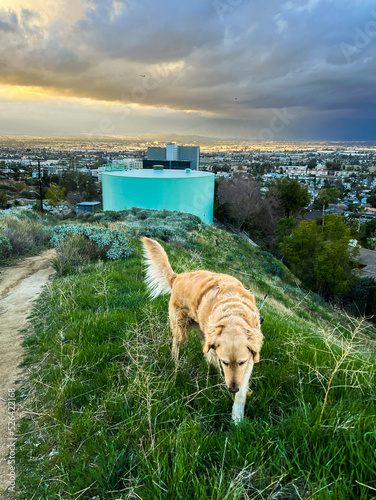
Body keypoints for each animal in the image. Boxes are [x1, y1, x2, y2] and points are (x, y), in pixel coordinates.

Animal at [142, 238, 262, 422]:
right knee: (176, 345)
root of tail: (177, 277)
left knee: (206, 352)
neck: (233, 313)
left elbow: (241, 391)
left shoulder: (248, 361)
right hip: (181, 328)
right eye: (225, 362)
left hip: (203, 331)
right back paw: (175, 362)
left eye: (241, 362)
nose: (232, 388)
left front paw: (237, 415)